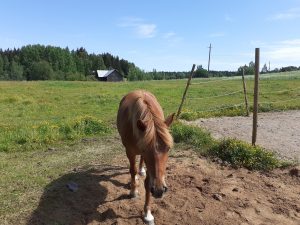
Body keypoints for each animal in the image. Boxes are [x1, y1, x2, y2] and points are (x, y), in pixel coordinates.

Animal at [116, 90, 175, 225]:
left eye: (168, 148)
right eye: (145, 149)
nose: (159, 190)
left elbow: (148, 183)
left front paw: (147, 213)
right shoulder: (130, 152)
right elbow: (132, 171)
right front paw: (133, 191)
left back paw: (141, 171)